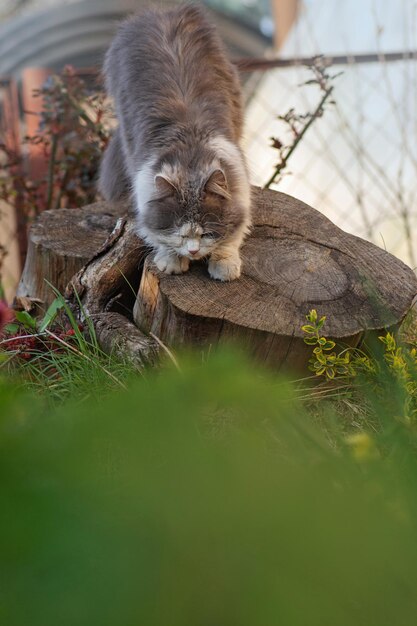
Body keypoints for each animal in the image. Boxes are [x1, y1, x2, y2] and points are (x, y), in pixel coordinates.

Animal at [99, 1, 250, 280]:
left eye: (206, 232)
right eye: (179, 232)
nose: (193, 251)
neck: (190, 147)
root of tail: (161, 11)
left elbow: (231, 238)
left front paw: (224, 266)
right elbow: (155, 235)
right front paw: (170, 262)